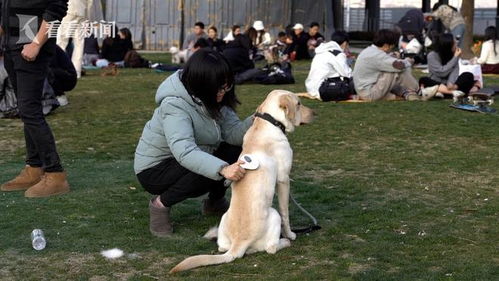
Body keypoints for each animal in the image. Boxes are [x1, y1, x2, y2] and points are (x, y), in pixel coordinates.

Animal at [170, 89, 314, 272]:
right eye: (298, 104)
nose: (315, 113)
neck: (269, 122)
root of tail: (238, 244)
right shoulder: (283, 179)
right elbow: (285, 213)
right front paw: (291, 234)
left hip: (224, 219)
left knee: (222, 247)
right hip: (273, 214)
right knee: (271, 248)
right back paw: (284, 241)